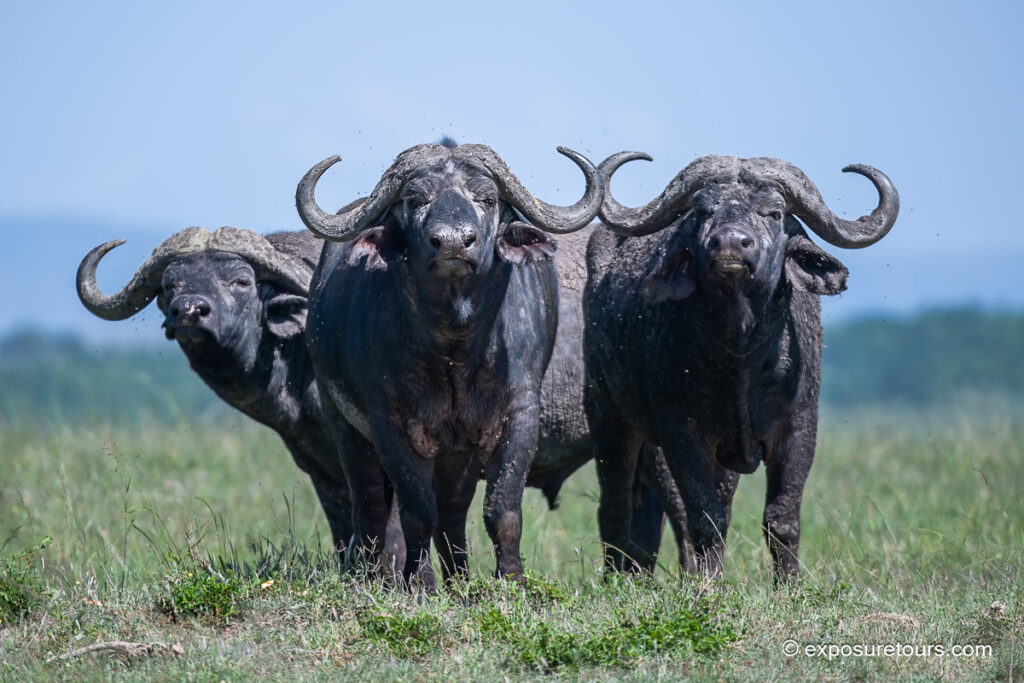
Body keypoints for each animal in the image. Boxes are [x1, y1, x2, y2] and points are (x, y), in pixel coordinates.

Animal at [297, 142, 602, 588]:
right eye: (415, 199)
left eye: (488, 199)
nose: (455, 244)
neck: (455, 348)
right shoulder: (390, 423)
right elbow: (416, 512)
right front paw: (420, 584)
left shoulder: (519, 413)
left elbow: (502, 509)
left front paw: (512, 581)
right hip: (346, 426)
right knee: (370, 508)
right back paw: (370, 578)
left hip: (457, 454)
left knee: (452, 514)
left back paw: (459, 583)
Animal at [583, 153, 898, 580]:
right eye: (702, 210)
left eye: (775, 212)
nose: (731, 243)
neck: (740, 357)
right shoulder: (682, 432)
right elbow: (705, 517)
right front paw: (709, 584)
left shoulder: (799, 426)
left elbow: (781, 518)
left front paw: (790, 585)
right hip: (608, 414)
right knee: (616, 505)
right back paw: (617, 576)